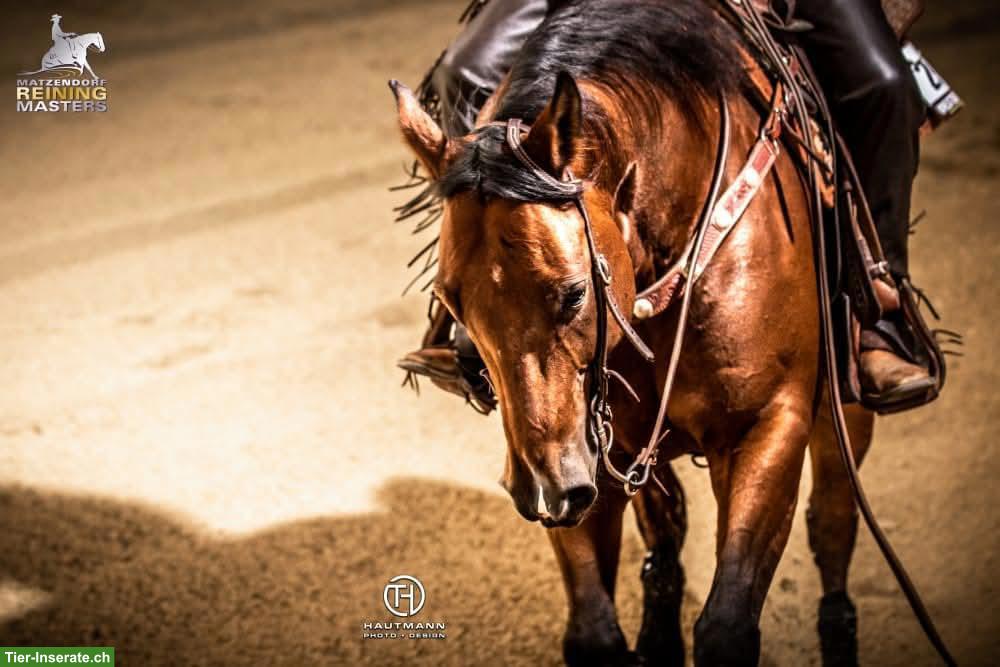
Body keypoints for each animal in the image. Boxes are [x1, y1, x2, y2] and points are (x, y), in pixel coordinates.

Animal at [391, 0, 876, 664]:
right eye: (451, 302)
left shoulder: (765, 425)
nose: (541, 491)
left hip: (841, 404)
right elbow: (594, 629)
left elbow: (727, 626)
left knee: (833, 520)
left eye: (574, 292)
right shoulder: (585, 461)